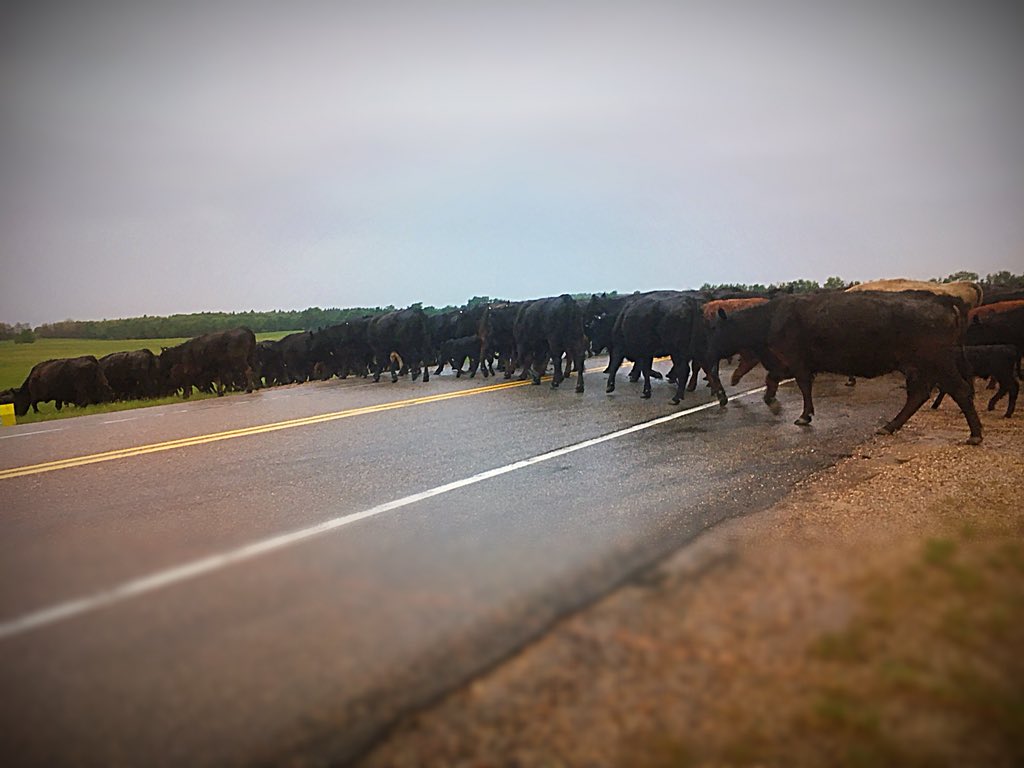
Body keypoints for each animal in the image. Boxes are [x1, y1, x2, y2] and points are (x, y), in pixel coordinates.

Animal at [704, 291, 983, 444]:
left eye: (716, 329)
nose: (707, 352)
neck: (770, 318)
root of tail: (944, 301)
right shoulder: (786, 363)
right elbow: (772, 378)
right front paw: (770, 399)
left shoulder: (797, 362)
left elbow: (803, 386)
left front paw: (804, 415)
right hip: (918, 366)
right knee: (919, 394)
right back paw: (890, 426)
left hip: (938, 362)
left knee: (959, 391)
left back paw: (975, 434)